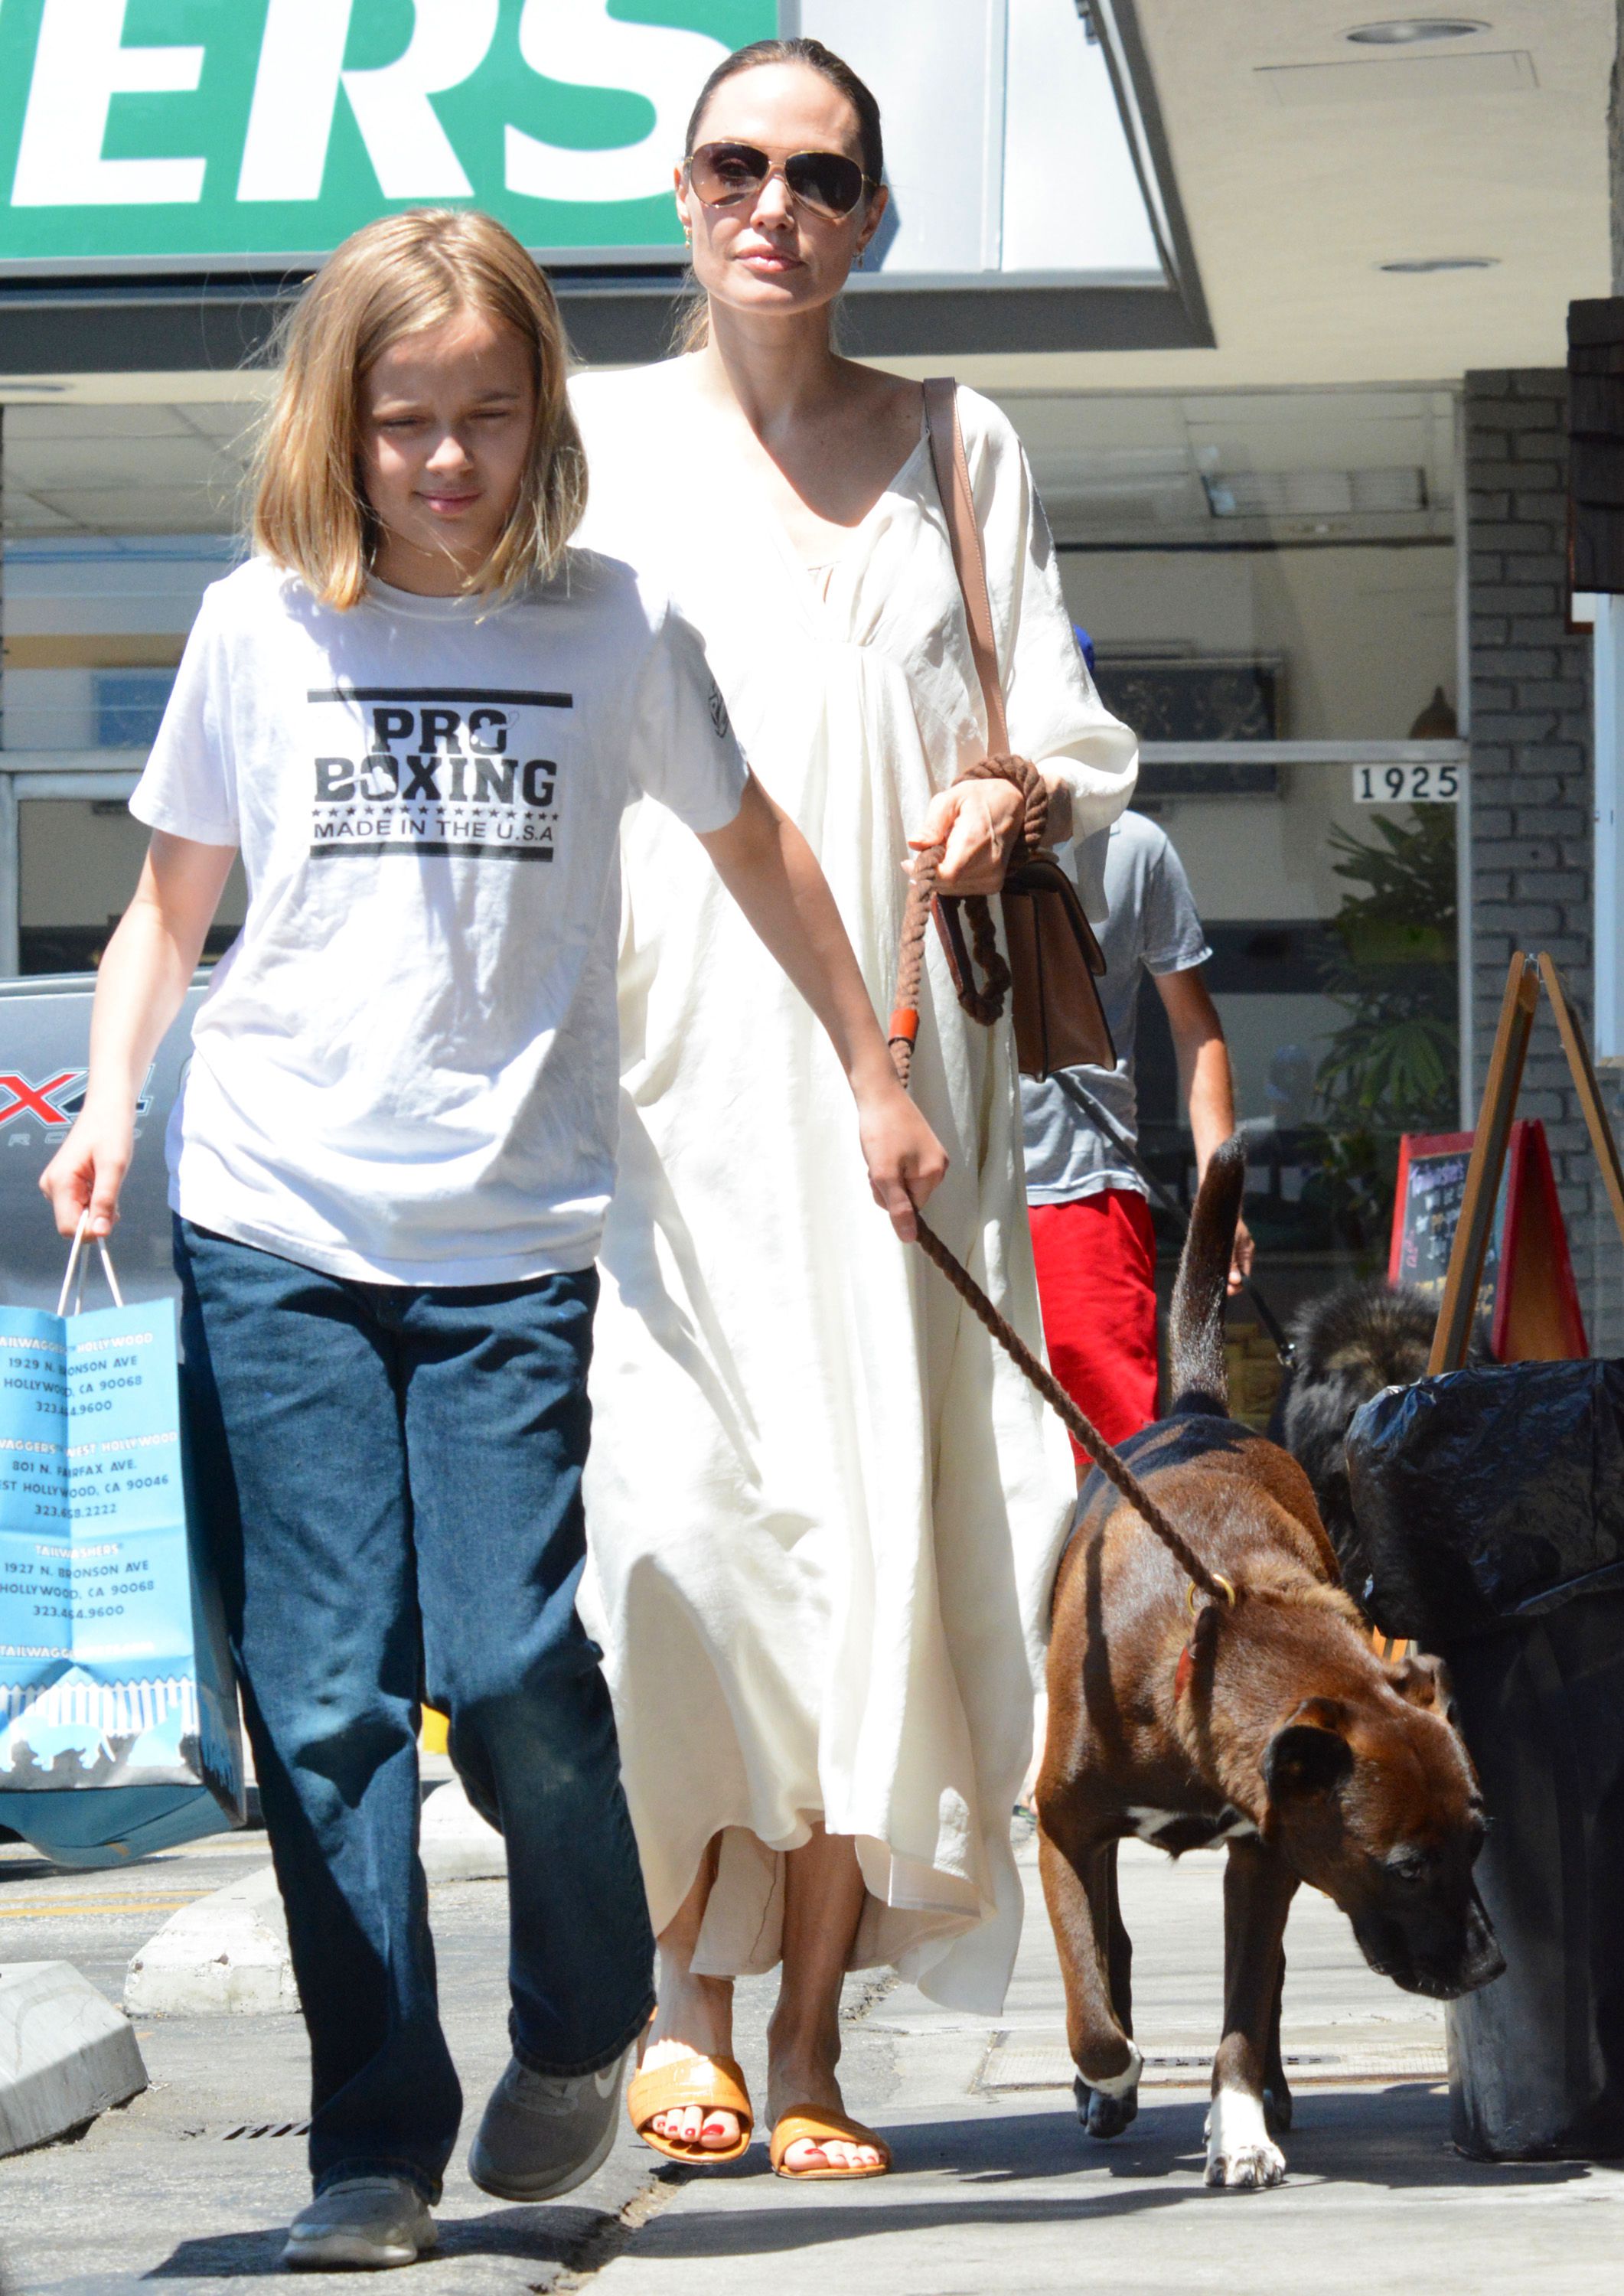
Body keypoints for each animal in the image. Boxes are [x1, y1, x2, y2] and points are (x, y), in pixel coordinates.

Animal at [1033, 1143, 1506, 2186]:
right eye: (1406, 1867)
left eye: (1479, 1842)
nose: (1490, 1968)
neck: (1206, 1646)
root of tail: (1202, 1407)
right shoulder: (1059, 1829)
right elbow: (1091, 1994)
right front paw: (1108, 2075)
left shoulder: (1266, 1855)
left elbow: (1245, 2010)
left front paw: (1241, 2126)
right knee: (1111, 1949)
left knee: (1269, 1980)